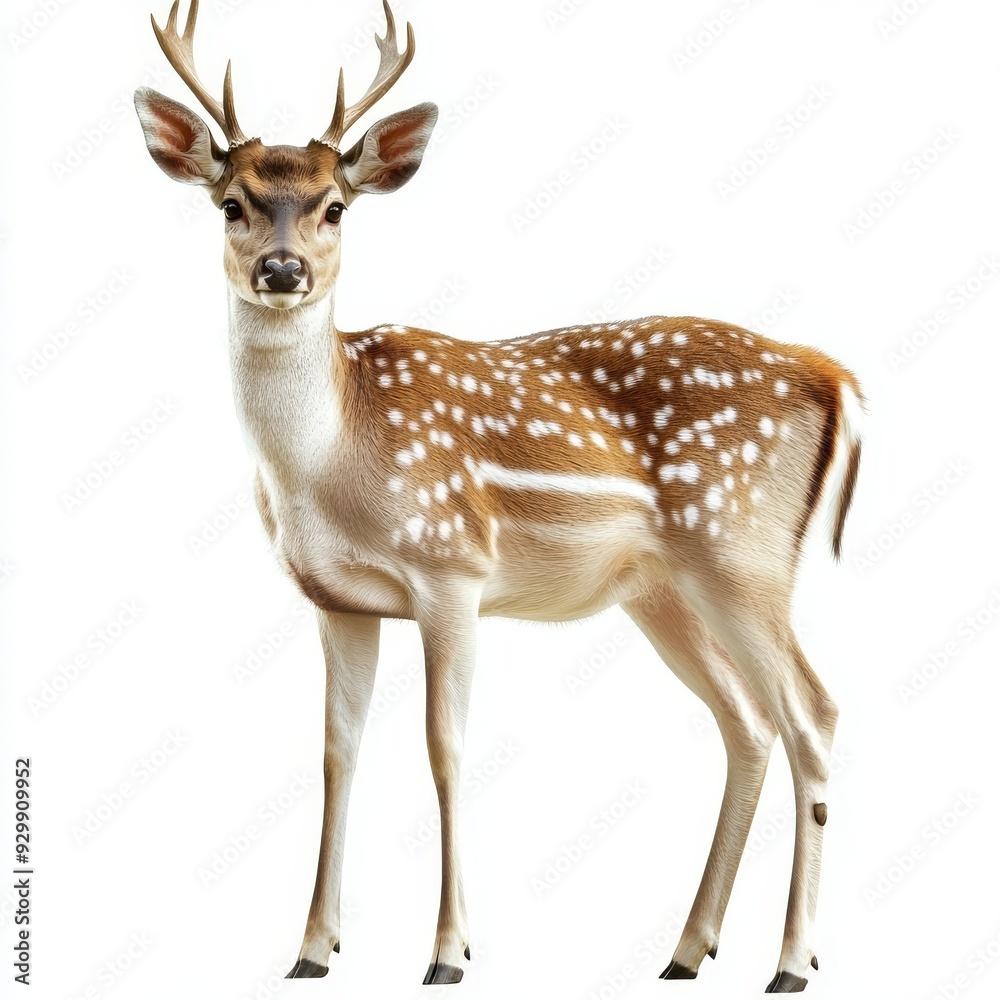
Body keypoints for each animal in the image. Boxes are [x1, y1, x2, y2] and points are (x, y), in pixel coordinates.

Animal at [134, 0, 862, 992]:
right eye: (231, 202)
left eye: (336, 206)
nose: (282, 271)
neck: (330, 463)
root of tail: (830, 374)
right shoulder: (337, 600)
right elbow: (335, 753)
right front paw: (312, 949)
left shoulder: (452, 568)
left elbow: (444, 748)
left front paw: (449, 952)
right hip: (664, 589)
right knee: (746, 724)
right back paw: (685, 950)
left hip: (742, 551)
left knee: (812, 715)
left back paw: (791, 961)